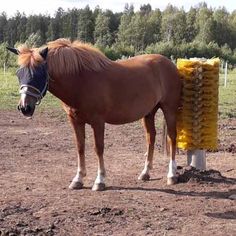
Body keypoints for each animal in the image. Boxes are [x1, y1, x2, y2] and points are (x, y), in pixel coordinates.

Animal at [7, 38, 181, 190]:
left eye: (38, 73)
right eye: (19, 73)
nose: (25, 107)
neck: (80, 81)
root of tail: (169, 64)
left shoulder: (98, 122)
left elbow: (99, 149)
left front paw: (100, 181)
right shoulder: (75, 121)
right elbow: (80, 147)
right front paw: (78, 179)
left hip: (169, 109)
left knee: (172, 137)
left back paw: (171, 175)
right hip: (149, 113)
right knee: (151, 137)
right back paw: (145, 173)